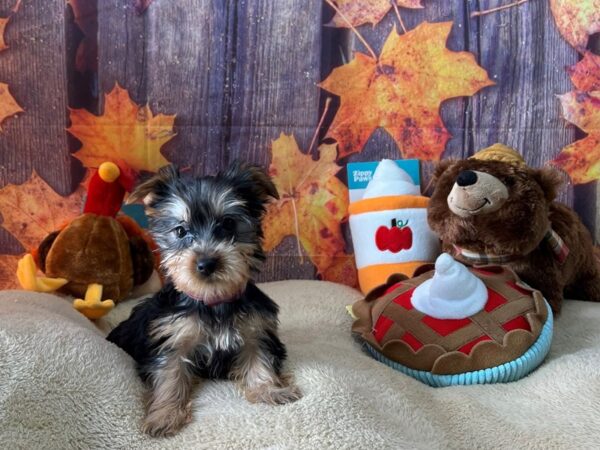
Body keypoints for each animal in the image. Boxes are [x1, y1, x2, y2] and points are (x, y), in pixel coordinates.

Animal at [106, 162, 300, 436]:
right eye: (180, 231)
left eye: (228, 224)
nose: (206, 263)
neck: (214, 300)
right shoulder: (172, 339)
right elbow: (169, 375)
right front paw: (164, 415)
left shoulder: (255, 330)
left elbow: (259, 358)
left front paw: (270, 389)